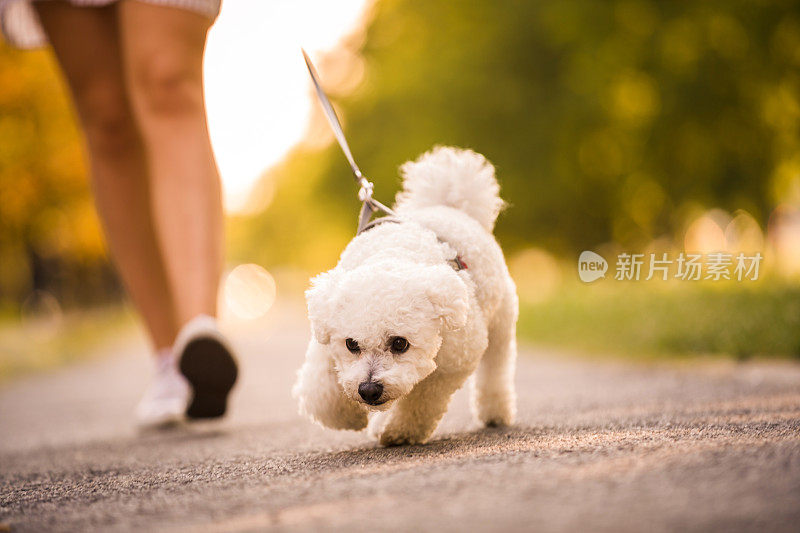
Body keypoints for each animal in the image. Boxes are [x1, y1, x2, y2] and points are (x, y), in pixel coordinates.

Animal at [294, 144, 520, 444]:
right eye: (351, 344)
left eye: (400, 344)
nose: (368, 390)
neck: (394, 251)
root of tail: (450, 206)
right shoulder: (325, 345)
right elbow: (321, 394)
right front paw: (347, 416)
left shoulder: (456, 359)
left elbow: (422, 399)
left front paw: (397, 430)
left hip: (500, 325)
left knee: (496, 367)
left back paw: (496, 412)